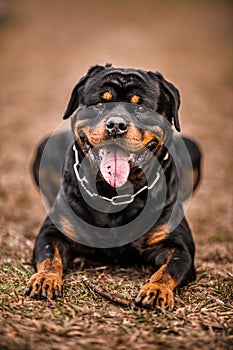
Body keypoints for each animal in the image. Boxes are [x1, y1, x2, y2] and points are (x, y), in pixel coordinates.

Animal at [25, 63, 200, 308]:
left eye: (141, 108)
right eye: (100, 104)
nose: (116, 124)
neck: (115, 194)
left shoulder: (178, 245)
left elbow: (171, 268)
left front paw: (156, 290)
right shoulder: (53, 232)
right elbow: (50, 256)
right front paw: (45, 279)